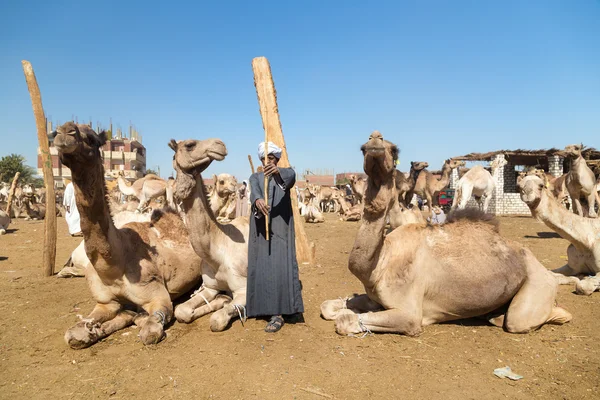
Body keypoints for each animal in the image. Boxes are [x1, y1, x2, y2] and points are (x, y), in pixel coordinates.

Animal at [52, 122, 202, 350]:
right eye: (54, 132)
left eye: (92, 138)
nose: (64, 132)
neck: (113, 264)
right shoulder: (105, 302)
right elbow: (73, 334)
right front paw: (91, 331)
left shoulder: (159, 297)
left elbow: (149, 331)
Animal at [169, 138, 251, 332]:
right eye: (190, 145)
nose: (220, 144)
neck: (215, 255)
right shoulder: (210, 287)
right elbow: (181, 311)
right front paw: (220, 300)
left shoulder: (243, 290)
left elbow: (217, 321)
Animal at [322, 132, 568, 338]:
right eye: (363, 148)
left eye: (394, 150)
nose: (375, 140)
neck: (380, 264)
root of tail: (542, 267)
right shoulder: (375, 297)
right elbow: (328, 306)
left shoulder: (410, 315)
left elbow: (346, 320)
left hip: (536, 286)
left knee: (522, 319)